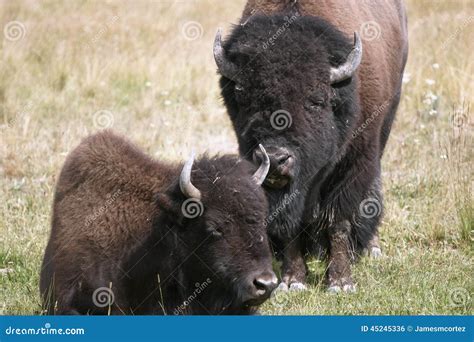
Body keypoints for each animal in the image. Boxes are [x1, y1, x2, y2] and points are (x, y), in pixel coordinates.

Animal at [215, 0, 408, 292]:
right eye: (243, 97)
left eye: (316, 100)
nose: (275, 158)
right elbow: (290, 225)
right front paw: (292, 280)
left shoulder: (353, 163)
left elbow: (338, 220)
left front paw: (340, 283)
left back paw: (371, 247)